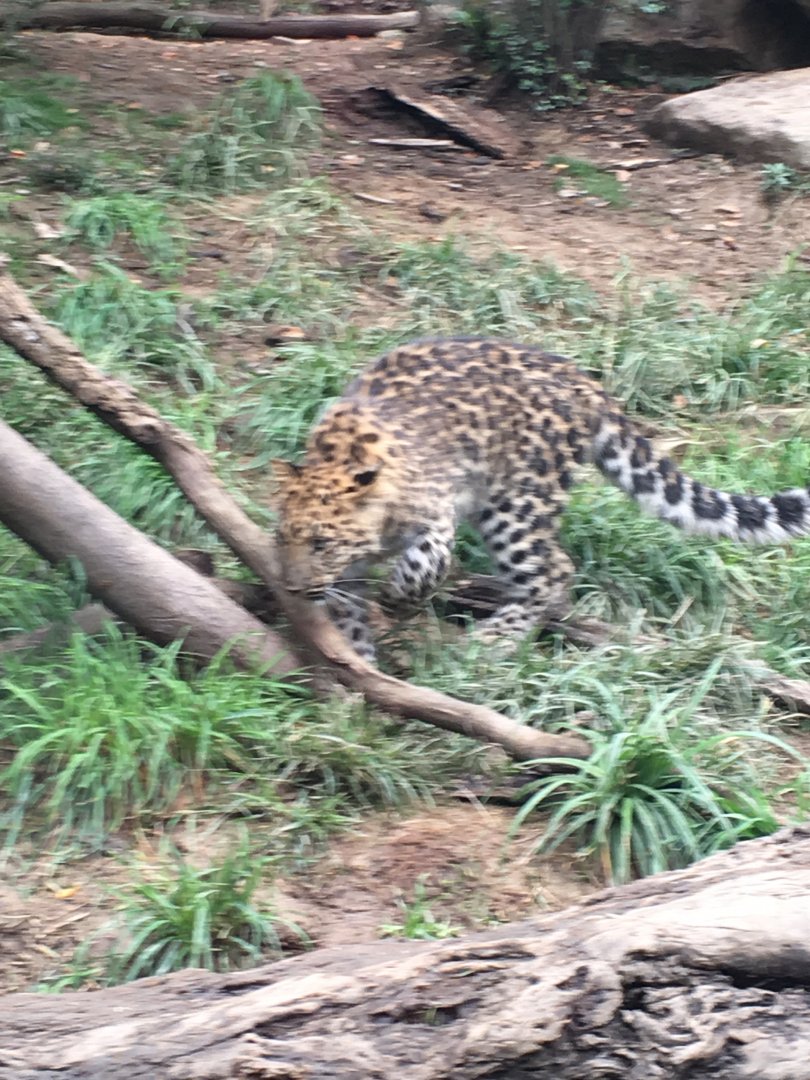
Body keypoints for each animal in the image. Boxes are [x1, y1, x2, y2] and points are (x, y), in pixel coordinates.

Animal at [272, 337, 810, 662]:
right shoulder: (346, 574)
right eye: (282, 538)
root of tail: (583, 379)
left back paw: (495, 638)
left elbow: (424, 565)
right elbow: (347, 615)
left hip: (514, 504)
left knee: (553, 570)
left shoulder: (435, 513)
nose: (293, 589)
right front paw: (357, 662)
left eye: (321, 543)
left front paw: (398, 601)